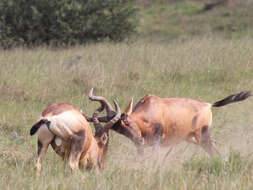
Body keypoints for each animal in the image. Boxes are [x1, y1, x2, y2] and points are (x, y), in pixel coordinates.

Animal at [86, 89, 251, 157]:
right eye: (118, 130)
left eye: (125, 120)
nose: (139, 140)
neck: (151, 107)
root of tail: (208, 104)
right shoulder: (140, 147)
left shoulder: (157, 142)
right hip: (193, 138)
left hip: (202, 136)